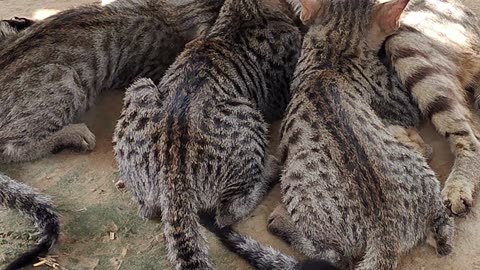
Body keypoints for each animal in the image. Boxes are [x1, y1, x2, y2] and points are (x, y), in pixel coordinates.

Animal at [112, 0, 300, 268]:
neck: (246, 10)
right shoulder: (280, 93)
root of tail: (172, 172)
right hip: (248, 112)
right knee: (227, 212)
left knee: (145, 209)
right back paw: (270, 172)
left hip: (141, 87)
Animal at [207, 0, 454, 268]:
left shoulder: (402, 105)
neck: (334, 54)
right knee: (444, 235)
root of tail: (386, 234)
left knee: (334, 256)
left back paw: (281, 222)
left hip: (294, 180)